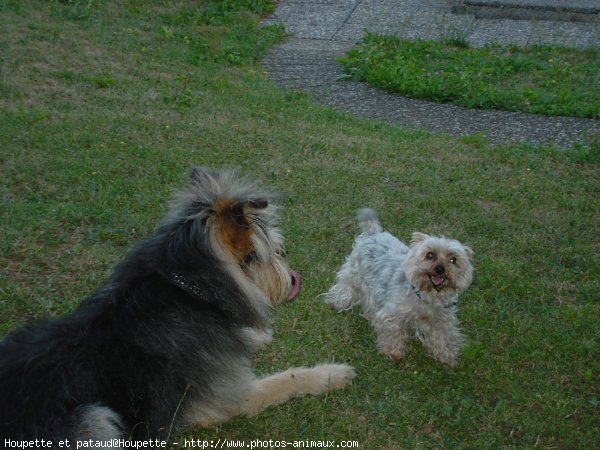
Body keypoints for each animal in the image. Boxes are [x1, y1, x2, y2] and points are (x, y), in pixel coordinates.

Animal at [0, 168, 356, 446]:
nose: (294, 278)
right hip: (95, 417)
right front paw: (331, 373)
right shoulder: (226, 398)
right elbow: (286, 380)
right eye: (275, 253)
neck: (193, 292)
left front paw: (254, 337)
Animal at [324, 209, 474, 368]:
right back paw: (337, 302)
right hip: (354, 273)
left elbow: (444, 337)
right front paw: (393, 352)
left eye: (453, 259)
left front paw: (447, 356)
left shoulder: (442, 320)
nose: (440, 269)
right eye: (430, 254)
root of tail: (373, 232)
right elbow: (393, 333)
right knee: (346, 287)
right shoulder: (392, 315)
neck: (425, 295)